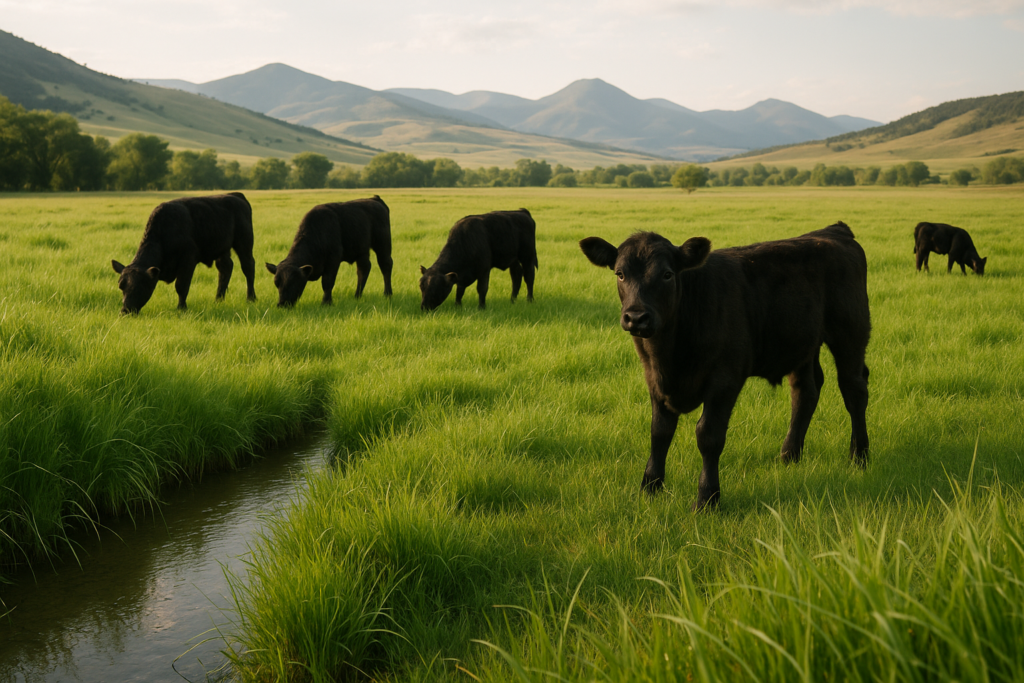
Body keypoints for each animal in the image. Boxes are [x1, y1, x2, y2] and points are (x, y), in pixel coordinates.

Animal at [111, 192, 257, 315]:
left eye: (140, 287)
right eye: (121, 287)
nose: (125, 311)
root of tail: (235, 195)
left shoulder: (188, 260)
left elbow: (181, 286)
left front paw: (181, 308)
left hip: (244, 243)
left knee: (248, 267)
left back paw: (251, 298)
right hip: (222, 249)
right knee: (225, 268)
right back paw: (218, 300)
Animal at [580, 222, 871, 511]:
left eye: (667, 274)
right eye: (620, 274)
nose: (636, 317)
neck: (670, 354)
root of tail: (833, 231)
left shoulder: (725, 379)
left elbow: (708, 435)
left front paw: (707, 498)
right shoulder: (654, 379)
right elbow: (659, 431)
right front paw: (650, 488)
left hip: (851, 332)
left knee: (854, 389)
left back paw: (859, 457)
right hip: (802, 343)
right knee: (805, 392)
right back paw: (789, 456)